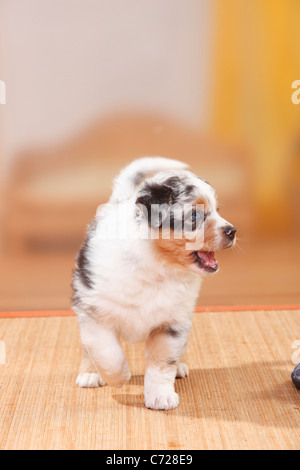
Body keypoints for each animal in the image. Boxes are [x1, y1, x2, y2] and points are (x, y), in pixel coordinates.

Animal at [71, 156, 236, 410]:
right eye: (194, 216)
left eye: (218, 210)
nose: (232, 231)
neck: (158, 267)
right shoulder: (96, 313)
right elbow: (107, 352)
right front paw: (120, 378)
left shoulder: (172, 323)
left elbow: (161, 363)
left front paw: (161, 397)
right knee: (87, 347)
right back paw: (90, 374)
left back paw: (180, 366)